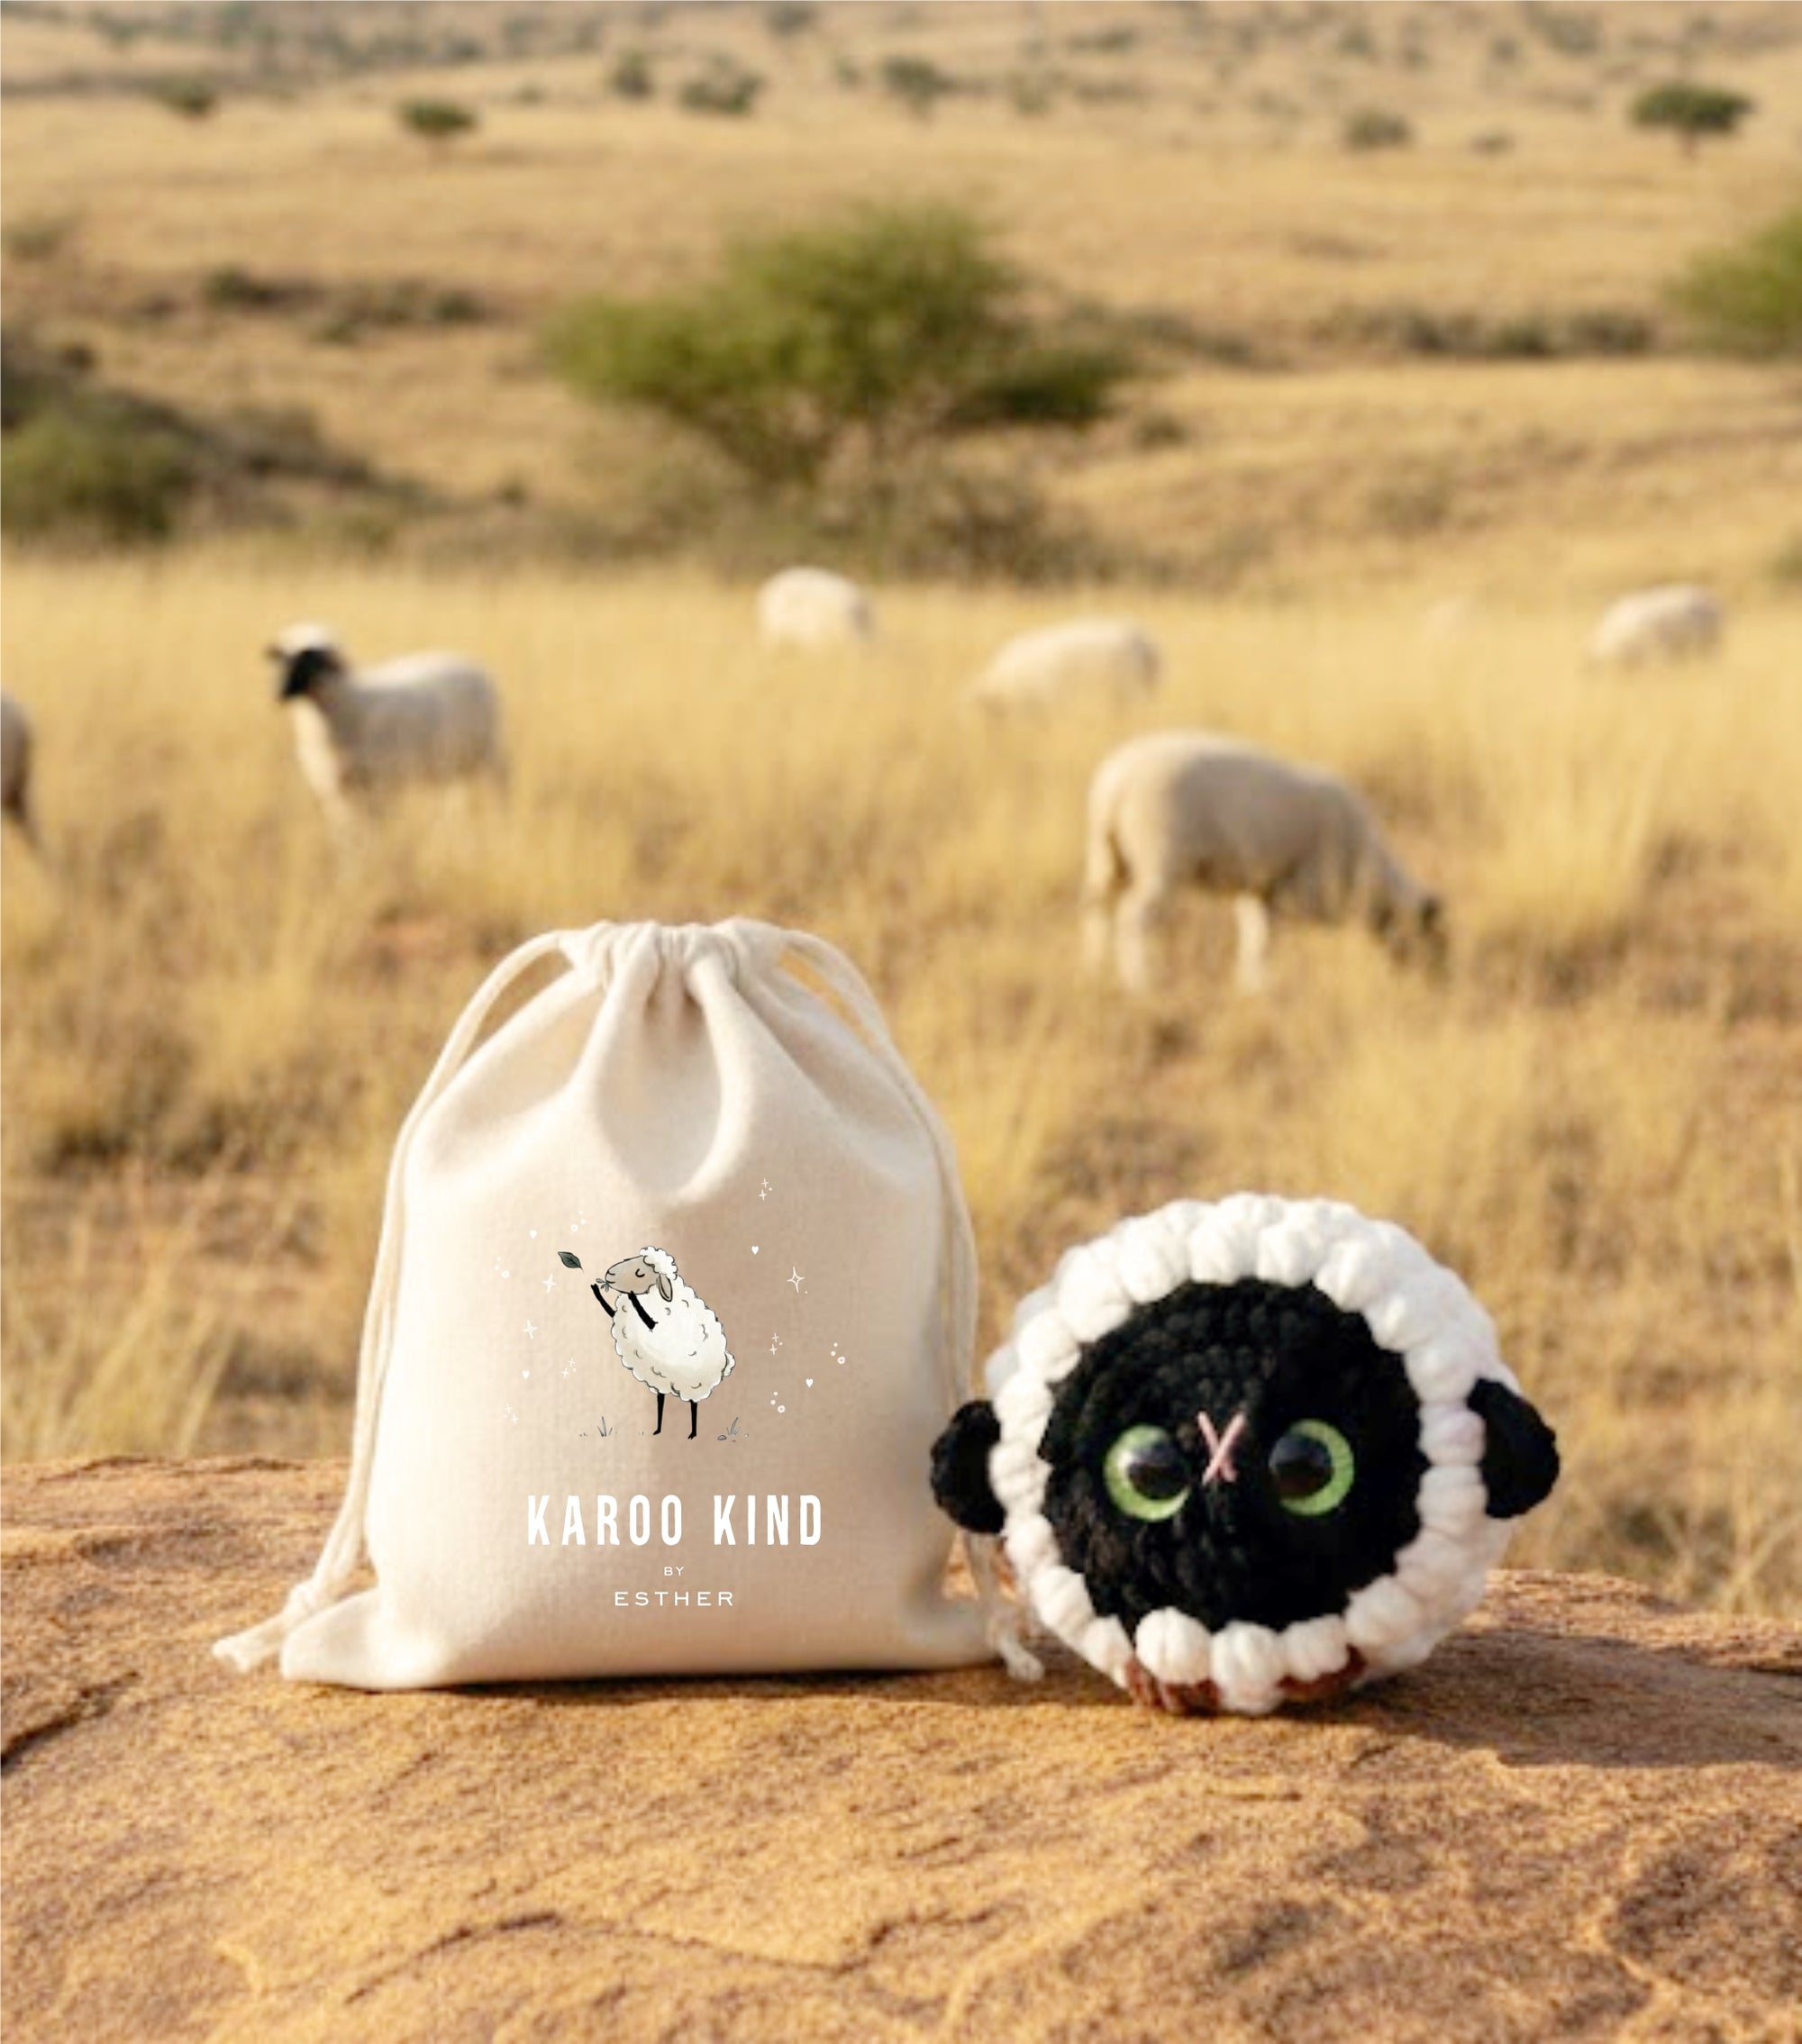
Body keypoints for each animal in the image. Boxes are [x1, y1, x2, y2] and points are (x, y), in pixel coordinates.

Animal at [266, 623, 505, 831]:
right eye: (282, 658)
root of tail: (472, 664)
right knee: (457, 797)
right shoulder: (337, 792)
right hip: (456, 760)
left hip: (490, 752)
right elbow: (347, 833)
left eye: (311, 659)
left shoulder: (381, 786)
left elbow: (374, 828)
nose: (278, 693)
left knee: (501, 788)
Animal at [558, 1247, 735, 1440]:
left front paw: (632, 1296)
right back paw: (658, 1429)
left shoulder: (656, 1326)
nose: (609, 1274)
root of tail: (725, 1361)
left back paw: (693, 1432)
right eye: (628, 1259)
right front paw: (596, 1289)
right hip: (659, 1378)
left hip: (694, 1382)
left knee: (693, 1403)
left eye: (639, 1273)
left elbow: (646, 1318)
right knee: (661, 1398)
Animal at [1082, 729, 1445, 996]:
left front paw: (1251, 985)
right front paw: (1259, 983)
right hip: (1161, 859)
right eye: (1433, 938)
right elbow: (1265, 938)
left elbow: (1255, 932)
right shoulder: (1298, 890)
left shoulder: (1260, 888)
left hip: (1108, 858)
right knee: (1134, 917)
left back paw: (1094, 968)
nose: (1436, 982)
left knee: (1098, 909)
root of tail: (1114, 786)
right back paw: (1141, 982)